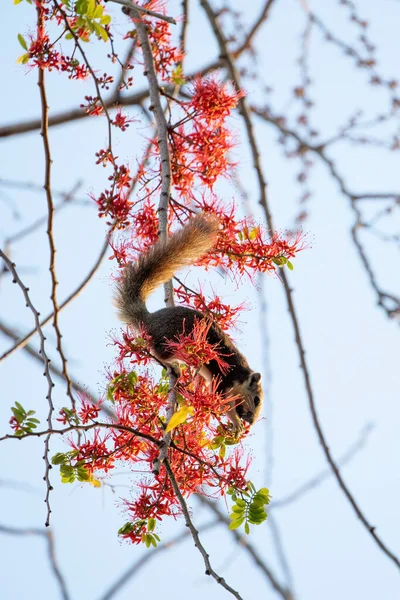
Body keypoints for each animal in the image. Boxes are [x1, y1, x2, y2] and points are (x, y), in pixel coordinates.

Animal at [115, 213, 262, 434]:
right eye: (256, 399)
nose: (251, 422)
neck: (242, 374)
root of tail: (147, 320)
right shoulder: (225, 381)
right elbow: (224, 404)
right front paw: (236, 424)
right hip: (168, 342)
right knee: (159, 353)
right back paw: (174, 366)